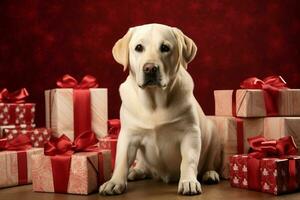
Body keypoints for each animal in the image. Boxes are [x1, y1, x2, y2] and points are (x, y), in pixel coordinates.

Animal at [99, 23, 221, 195]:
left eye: (165, 48)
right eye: (138, 47)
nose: (150, 68)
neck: (154, 102)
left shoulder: (190, 133)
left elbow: (188, 161)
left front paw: (188, 181)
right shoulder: (128, 134)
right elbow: (121, 160)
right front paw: (114, 182)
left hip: (214, 134)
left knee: (209, 161)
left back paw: (210, 173)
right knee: (144, 166)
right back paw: (136, 171)